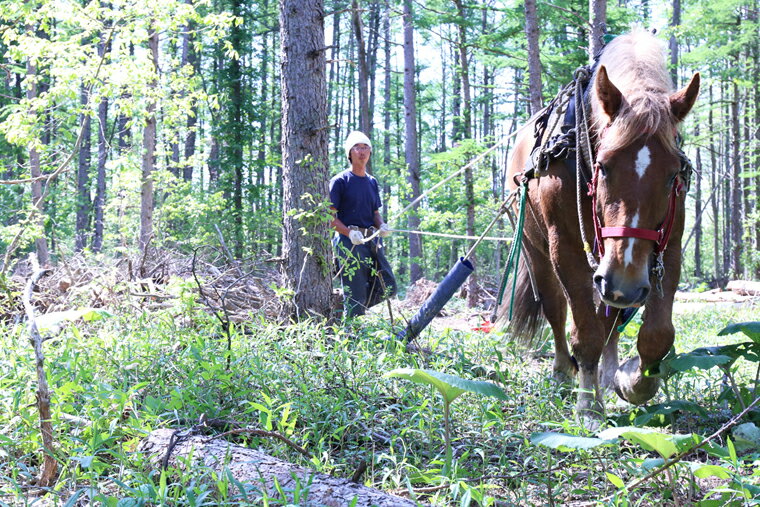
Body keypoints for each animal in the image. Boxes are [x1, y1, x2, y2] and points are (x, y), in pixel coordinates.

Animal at [498, 31, 700, 428]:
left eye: (672, 175)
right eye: (603, 166)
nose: (625, 284)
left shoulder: (665, 245)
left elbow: (657, 334)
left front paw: (632, 380)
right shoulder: (567, 248)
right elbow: (585, 330)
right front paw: (588, 407)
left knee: (610, 314)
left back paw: (606, 374)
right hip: (539, 251)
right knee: (557, 309)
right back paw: (564, 372)